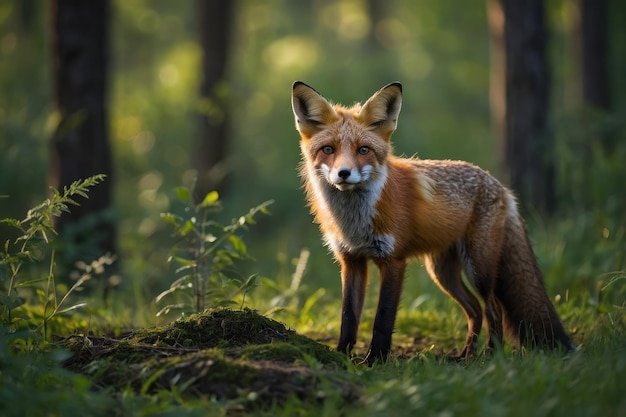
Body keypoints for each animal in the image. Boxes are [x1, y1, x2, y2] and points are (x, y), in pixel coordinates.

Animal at [292, 79, 576, 362]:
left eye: (363, 150)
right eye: (328, 149)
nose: (344, 173)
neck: (354, 222)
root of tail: (500, 186)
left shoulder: (393, 260)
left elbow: (383, 319)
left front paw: (375, 360)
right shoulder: (352, 261)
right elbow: (348, 316)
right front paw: (341, 355)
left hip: (478, 267)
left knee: (492, 307)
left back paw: (491, 355)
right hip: (442, 272)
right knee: (475, 309)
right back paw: (465, 355)